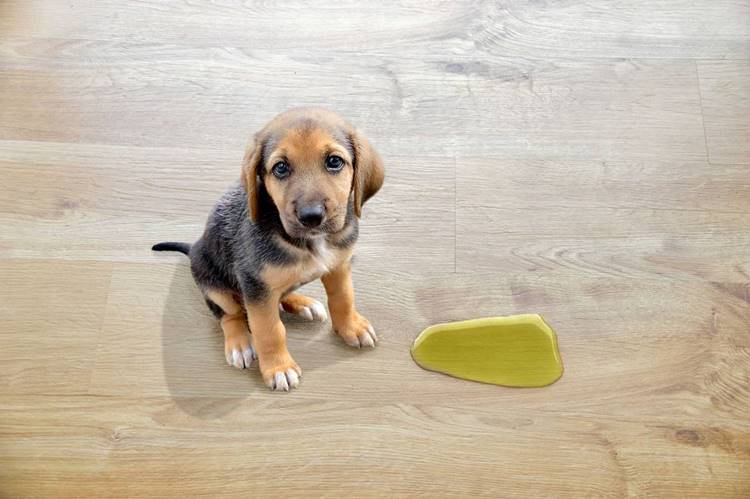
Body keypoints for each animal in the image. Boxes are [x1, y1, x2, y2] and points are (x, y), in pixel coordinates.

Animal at [154, 108, 388, 390]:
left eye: (334, 161)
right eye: (280, 168)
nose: (311, 217)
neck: (310, 242)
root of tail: (194, 247)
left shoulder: (339, 266)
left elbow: (343, 298)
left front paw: (351, 327)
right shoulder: (255, 284)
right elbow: (269, 330)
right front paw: (279, 368)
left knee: (279, 295)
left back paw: (302, 303)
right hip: (213, 283)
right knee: (229, 314)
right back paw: (240, 343)